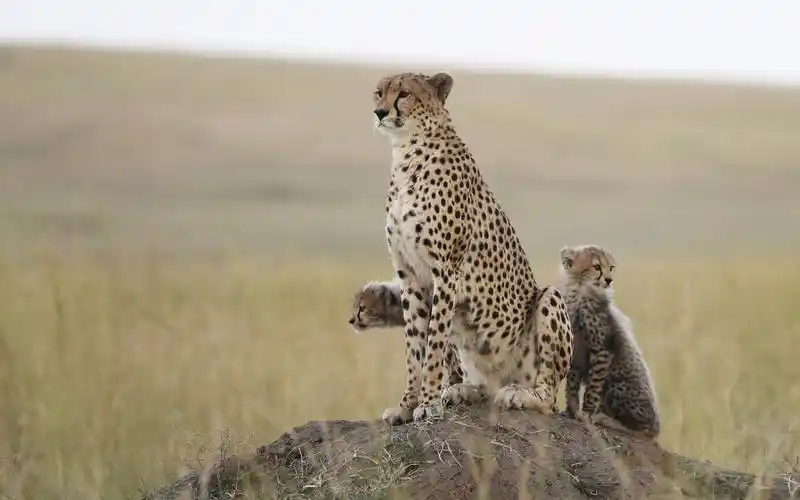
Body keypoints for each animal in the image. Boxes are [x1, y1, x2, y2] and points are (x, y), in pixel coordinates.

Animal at [371, 70, 574, 425]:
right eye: (379, 92)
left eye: (405, 94)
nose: (380, 113)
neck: (407, 152)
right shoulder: (409, 275)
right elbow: (414, 346)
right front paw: (407, 404)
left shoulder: (445, 272)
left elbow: (433, 344)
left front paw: (427, 403)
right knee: (482, 386)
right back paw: (461, 391)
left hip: (549, 300)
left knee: (548, 396)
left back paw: (518, 394)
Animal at [558, 244, 661, 440]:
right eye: (596, 267)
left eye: (611, 268)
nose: (609, 280)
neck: (581, 292)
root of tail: (657, 426)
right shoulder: (576, 352)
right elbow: (572, 383)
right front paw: (570, 410)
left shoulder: (602, 350)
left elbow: (592, 389)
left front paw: (586, 413)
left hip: (616, 386)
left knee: (642, 431)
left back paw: (605, 419)